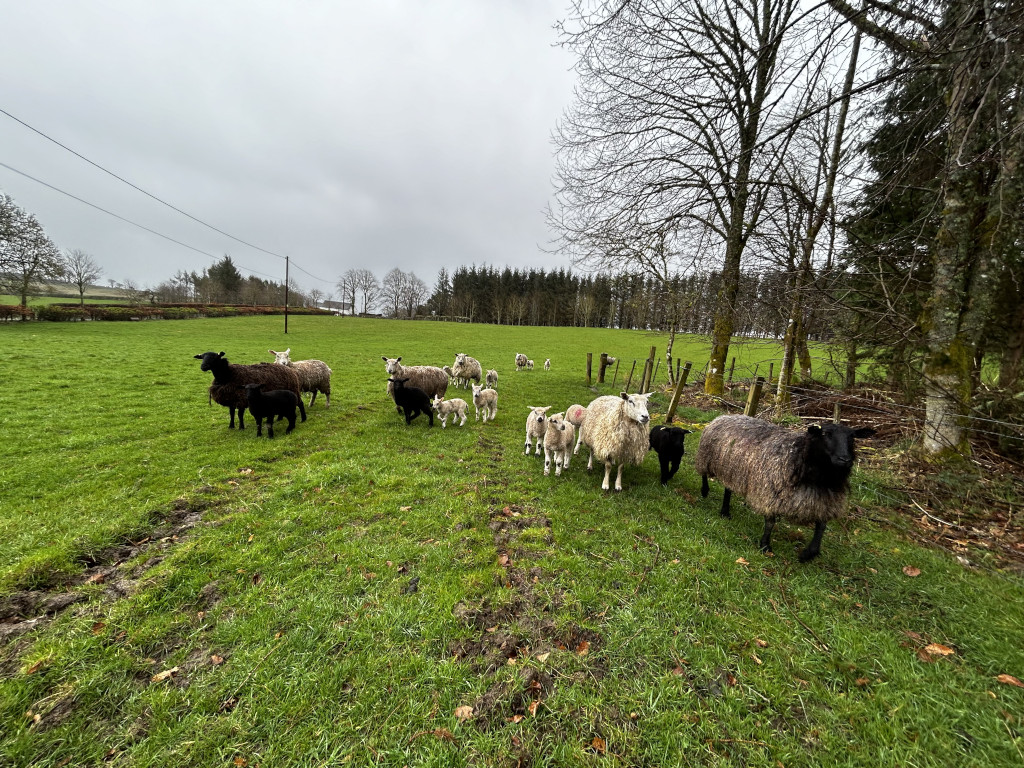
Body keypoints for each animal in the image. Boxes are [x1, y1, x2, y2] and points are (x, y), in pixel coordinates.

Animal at [694, 414, 875, 562]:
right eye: (826, 434)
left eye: (852, 437)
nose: (844, 459)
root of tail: (725, 415)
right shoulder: (770, 492)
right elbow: (770, 522)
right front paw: (765, 546)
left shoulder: (822, 501)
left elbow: (821, 527)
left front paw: (808, 554)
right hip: (706, 458)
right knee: (704, 475)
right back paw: (705, 491)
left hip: (734, 472)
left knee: (728, 489)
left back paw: (725, 511)